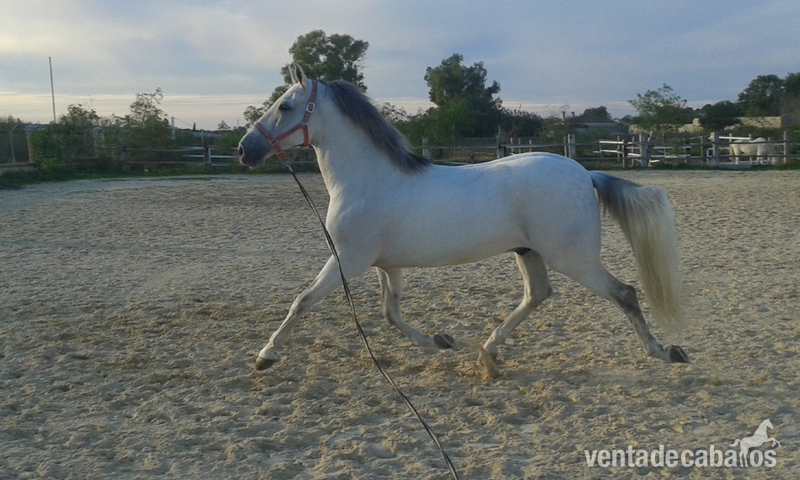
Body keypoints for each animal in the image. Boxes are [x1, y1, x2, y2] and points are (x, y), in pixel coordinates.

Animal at [238, 64, 690, 372]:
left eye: (286, 105)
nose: (245, 150)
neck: (368, 181)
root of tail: (585, 174)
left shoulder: (347, 260)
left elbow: (302, 301)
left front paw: (266, 354)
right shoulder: (387, 265)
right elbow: (390, 313)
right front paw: (440, 341)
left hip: (573, 258)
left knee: (624, 293)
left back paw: (663, 351)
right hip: (528, 252)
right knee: (538, 295)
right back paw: (487, 351)